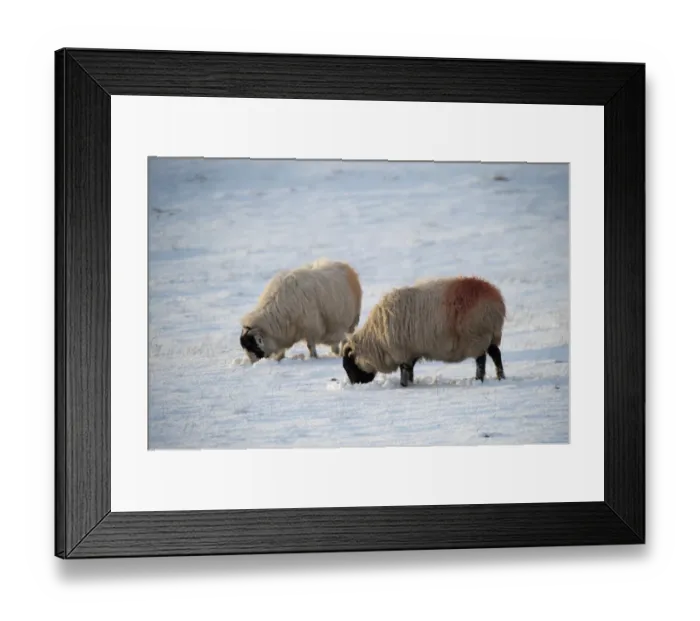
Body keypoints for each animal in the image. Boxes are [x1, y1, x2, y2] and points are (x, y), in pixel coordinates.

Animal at [341, 275, 506, 387]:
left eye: (348, 366)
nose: (356, 384)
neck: (376, 340)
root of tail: (497, 300)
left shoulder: (401, 351)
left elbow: (405, 370)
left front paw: (403, 385)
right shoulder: (412, 351)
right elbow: (410, 370)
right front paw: (411, 383)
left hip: (477, 336)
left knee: (481, 360)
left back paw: (479, 380)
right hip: (491, 335)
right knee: (496, 354)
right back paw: (501, 377)